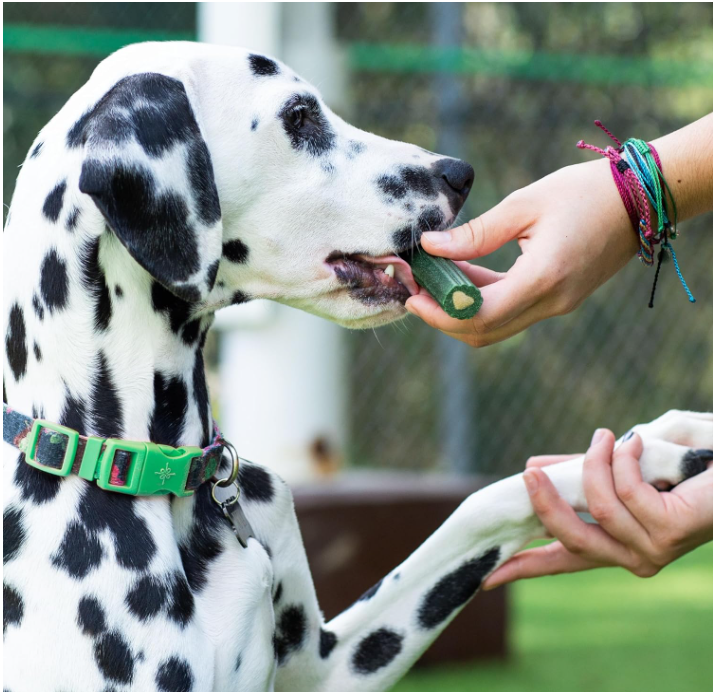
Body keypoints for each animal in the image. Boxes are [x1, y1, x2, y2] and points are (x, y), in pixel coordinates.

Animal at [2, 42, 708, 692]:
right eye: (300, 115)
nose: (459, 173)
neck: (154, 468)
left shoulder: (329, 665)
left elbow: (483, 503)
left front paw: (654, 447)